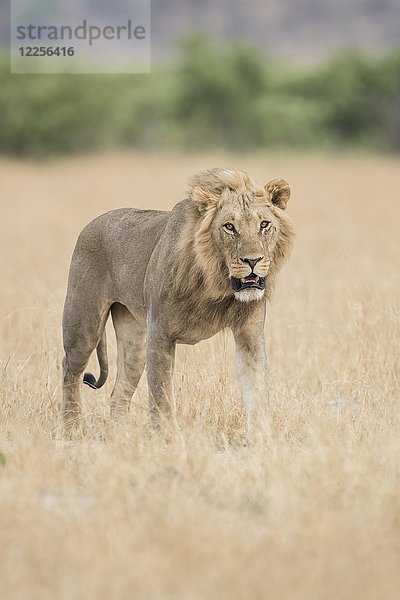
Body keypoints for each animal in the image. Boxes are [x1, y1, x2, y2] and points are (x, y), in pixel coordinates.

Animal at [62, 169, 294, 432]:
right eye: (229, 227)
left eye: (264, 224)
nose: (252, 261)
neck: (216, 284)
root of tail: (92, 223)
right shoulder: (159, 334)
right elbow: (161, 396)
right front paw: (168, 437)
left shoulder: (249, 334)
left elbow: (257, 391)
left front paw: (263, 437)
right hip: (84, 323)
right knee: (70, 370)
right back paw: (72, 427)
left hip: (135, 342)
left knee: (118, 393)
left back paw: (119, 435)